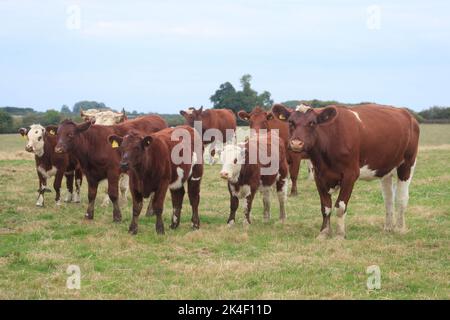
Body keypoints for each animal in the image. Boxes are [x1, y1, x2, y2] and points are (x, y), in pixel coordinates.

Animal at [270, 104, 422, 239]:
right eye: (291, 122)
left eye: (312, 123)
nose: (296, 143)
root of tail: (407, 114)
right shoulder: (319, 176)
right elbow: (325, 207)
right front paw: (324, 232)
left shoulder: (350, 175)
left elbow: (340, 206)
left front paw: (340, 234)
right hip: (386, 169)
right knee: (388, 198)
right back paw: (388, 227)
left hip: (407, 165)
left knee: (401, 198)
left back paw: (400, 228)